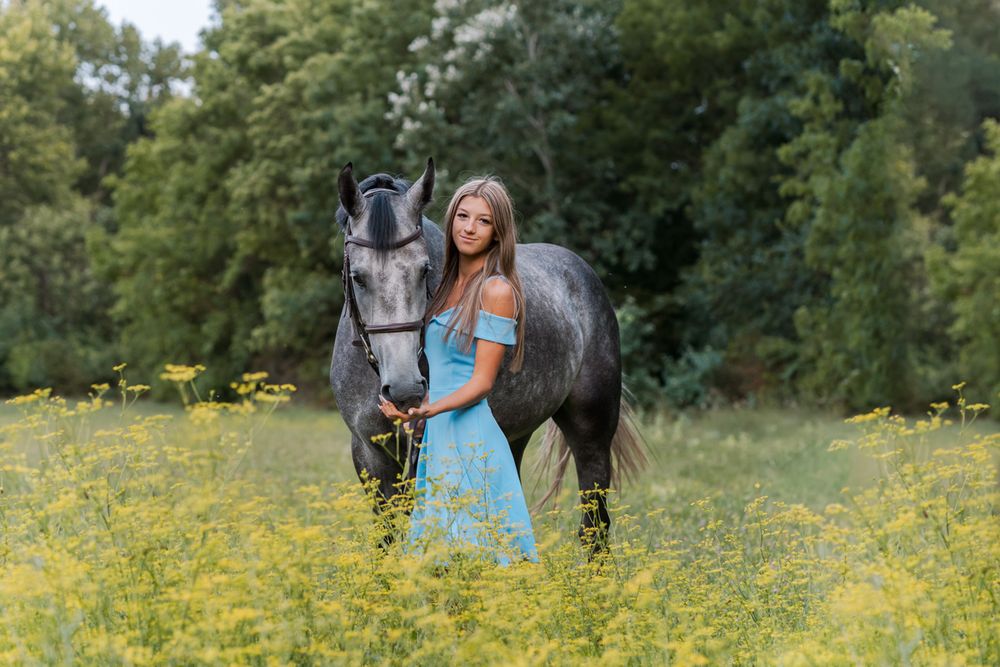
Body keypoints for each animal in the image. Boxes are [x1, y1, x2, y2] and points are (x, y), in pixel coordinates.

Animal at [329, 159, 646, 554]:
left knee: (595, 526)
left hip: (593, 430)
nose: (404, 390)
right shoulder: (370, 453)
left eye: (424, 270)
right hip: (514, 434)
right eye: (358, 276)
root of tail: (580, 271)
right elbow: (388, 540)